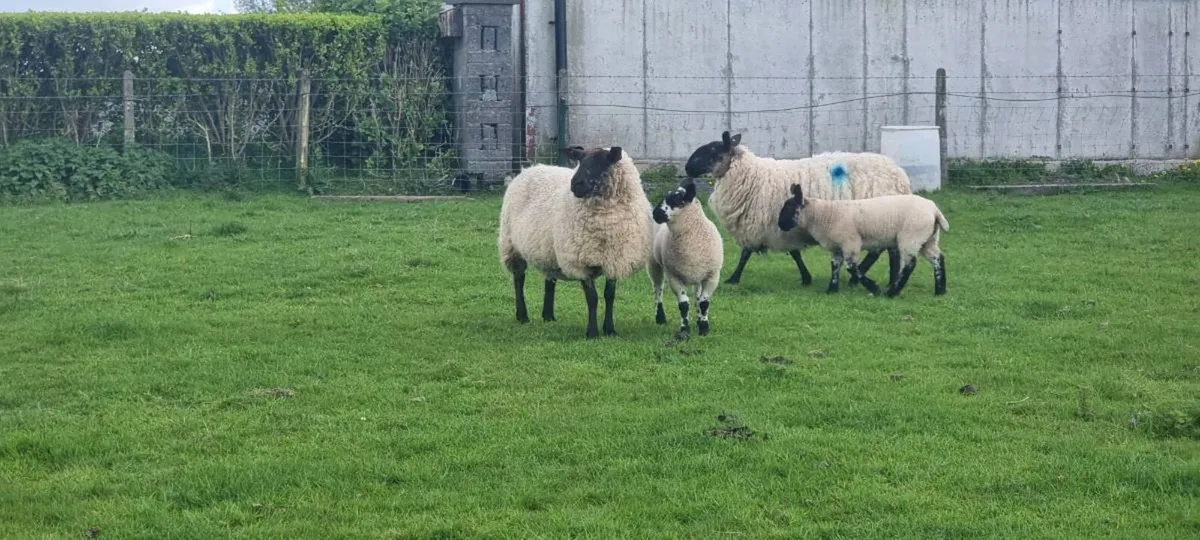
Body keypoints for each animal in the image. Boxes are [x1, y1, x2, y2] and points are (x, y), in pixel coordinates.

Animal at [497, 145, 655, 339]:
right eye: (581, 161)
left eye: (602, 162)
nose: (575, 184)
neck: (606, 221)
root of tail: (529, 169)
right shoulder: (581, 261)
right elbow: (592, 298)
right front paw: (592, 333)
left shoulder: (615, 259)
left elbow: (609, 296)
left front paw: (610, 330)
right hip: (511, 244)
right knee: (519, 279)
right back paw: (522, 316)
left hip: (550, 249)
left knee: (550, 279)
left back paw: (548, 316)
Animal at [648, 179, 725, 336]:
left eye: (676, 199)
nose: (655, 214)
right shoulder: (674, 276)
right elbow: (683, 304)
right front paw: (684, 330)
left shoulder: (712, 276)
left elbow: (704, 302)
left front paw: (704, 327)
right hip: (654, 264)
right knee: (658, 289)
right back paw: (660, 317)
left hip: (698, 274)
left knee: (697, 296)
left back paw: (698, 318)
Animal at [683, 131, 912, 292]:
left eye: (713, 151)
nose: (686, 168)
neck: (751, 175)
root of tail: (900, 177)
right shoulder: (781, 227)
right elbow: (794, 253)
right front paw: (806, 277)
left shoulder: (764, 224)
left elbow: (746, 254)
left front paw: (733, 278)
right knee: (882, 250)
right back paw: (871, 278)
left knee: (886, 251)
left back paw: (877, 279)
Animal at [776, 183, 948, 298]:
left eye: (789, 208)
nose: (780, 225)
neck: (824, 214)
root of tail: (935, 211)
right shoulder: (837, 246)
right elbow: (835, 266)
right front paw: (831, 289)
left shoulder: (850, 242)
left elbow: (851, 267)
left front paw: (874, 288)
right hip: (928, 239)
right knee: (937, 258)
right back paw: (940, 290)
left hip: (911, 237)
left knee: (909, 265)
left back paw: (892, 292)